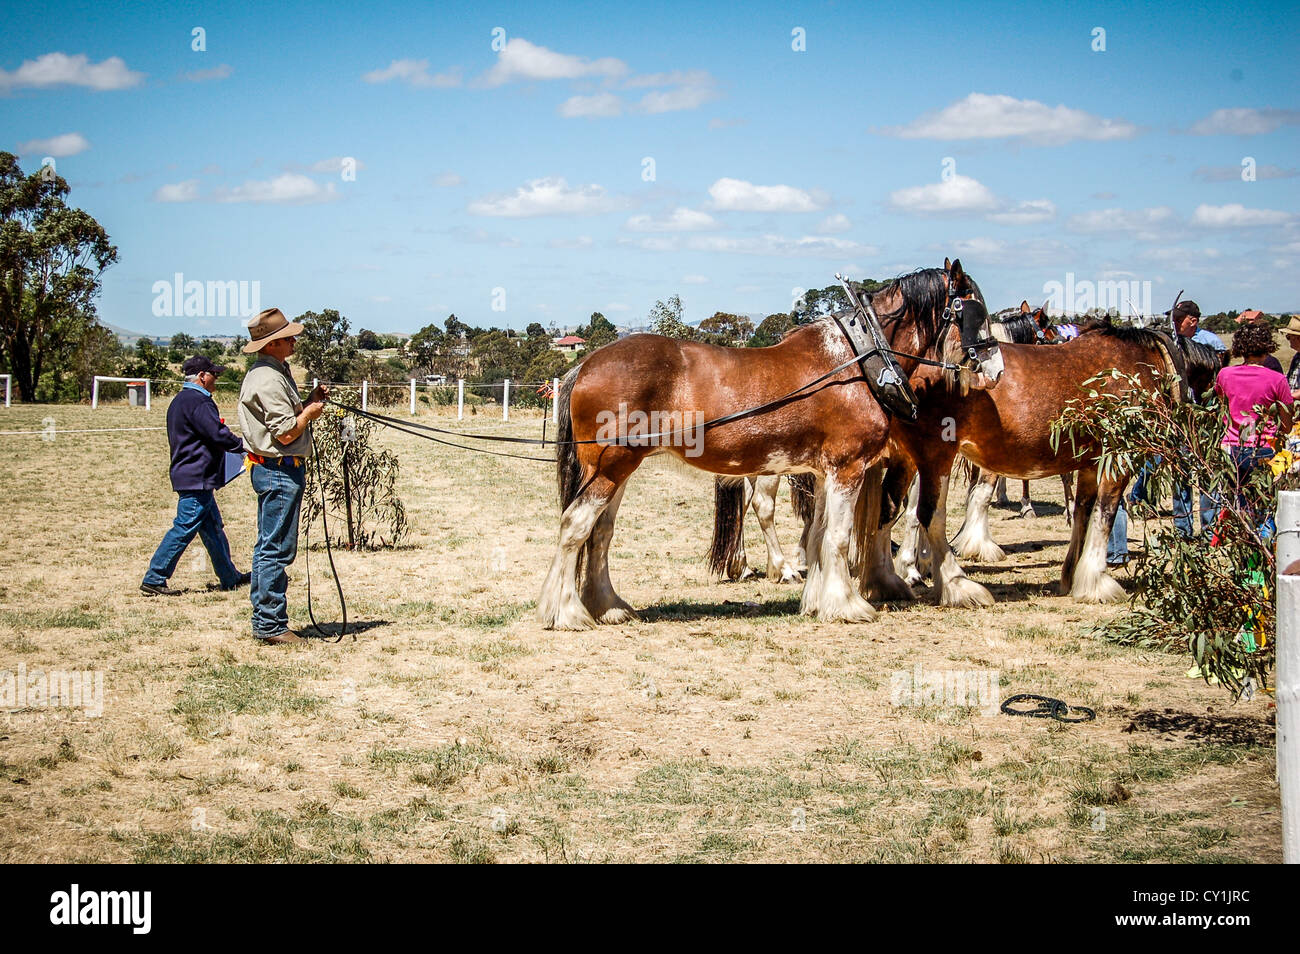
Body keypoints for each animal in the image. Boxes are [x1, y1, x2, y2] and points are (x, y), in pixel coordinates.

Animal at [540, 265, 982, 631]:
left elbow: (818, 535)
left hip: (617, 471)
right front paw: (848, 605)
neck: (855, 362)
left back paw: (608, 606)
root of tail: (585, 365)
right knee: (574, 526)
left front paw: (817, 601)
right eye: (974, 310)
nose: (991, 364)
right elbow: (839, 537)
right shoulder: (848, 467)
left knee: (599, 533)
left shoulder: (824, 473)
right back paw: (567, 613)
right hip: (610, 468)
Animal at [863, 321, 1216, 605]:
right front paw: (1096, 580)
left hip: (907, 460)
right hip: (935, 458)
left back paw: (886, 582)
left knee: (888, 509)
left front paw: (1072, 575)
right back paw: (956, 585)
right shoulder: (1116, 459)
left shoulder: (1090, 463)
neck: (1139, 363)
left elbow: (1083, 513)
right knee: (929, 515)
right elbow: (1104, 514)